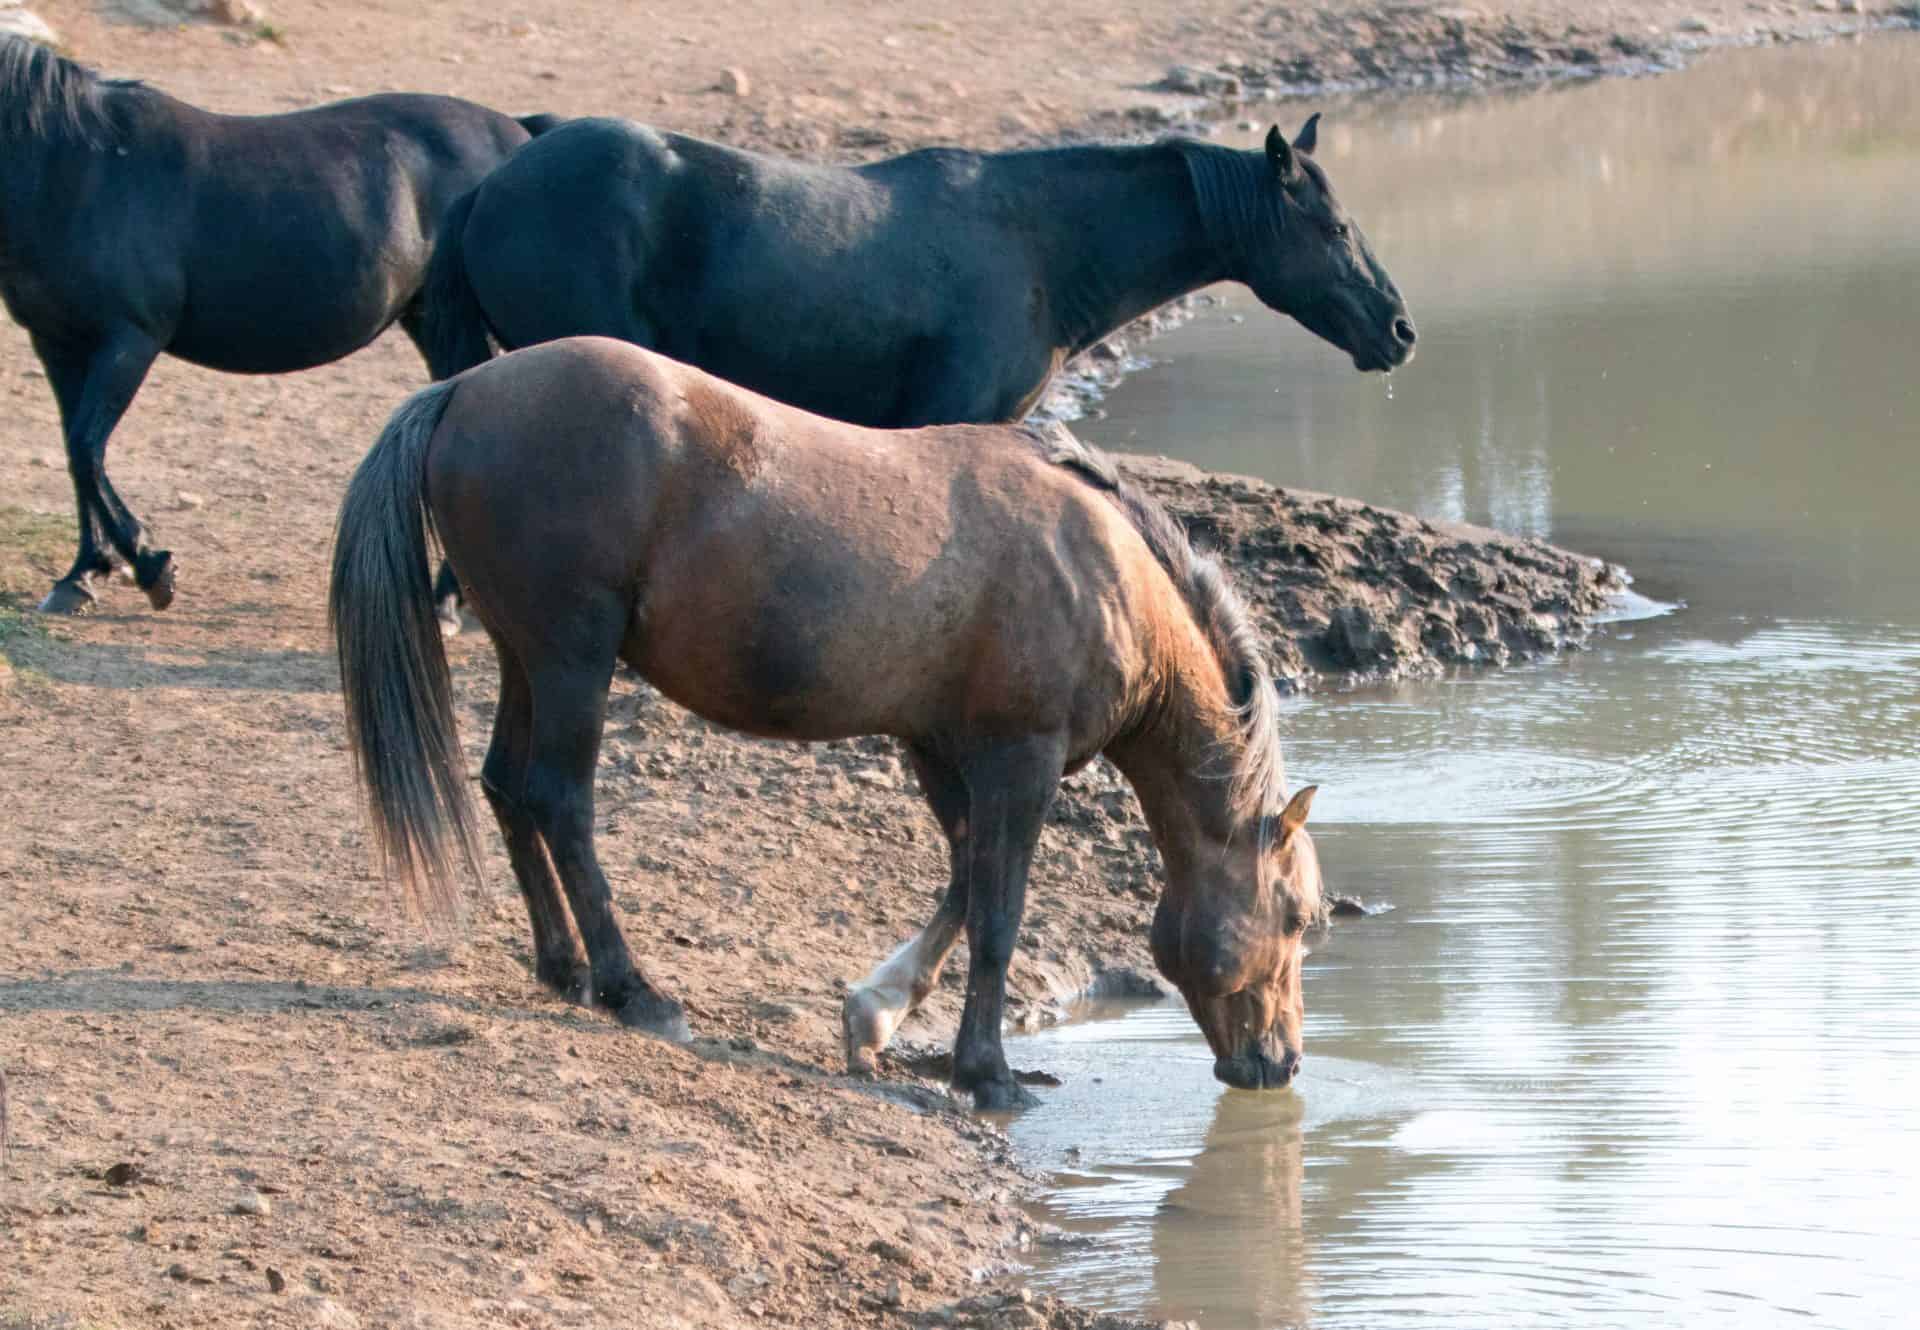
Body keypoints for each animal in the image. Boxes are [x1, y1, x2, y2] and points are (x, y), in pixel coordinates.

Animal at [0, 37, 556, 616]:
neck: (77, 169)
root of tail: (518, 136)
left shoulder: (127, 341)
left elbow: (88, 449)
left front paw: (152, 566)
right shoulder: (58, 344)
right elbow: (76, 453)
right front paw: (82, 574)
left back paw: (454, 597)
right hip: (432, 322)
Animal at [329, 336, 1326, 1110]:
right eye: (1300, 917)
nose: (1280, 1064)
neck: (1099, 567)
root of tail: (465, 389)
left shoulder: (940, 746)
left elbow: (964, 879)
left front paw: (876, 1014)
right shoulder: (1019, 760)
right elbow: (999, 912)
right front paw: (988, 1073)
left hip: (527, 660)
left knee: (506, 787)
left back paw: (564, 968)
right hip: (572, 661)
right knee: (558, 801)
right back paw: (632, 991)